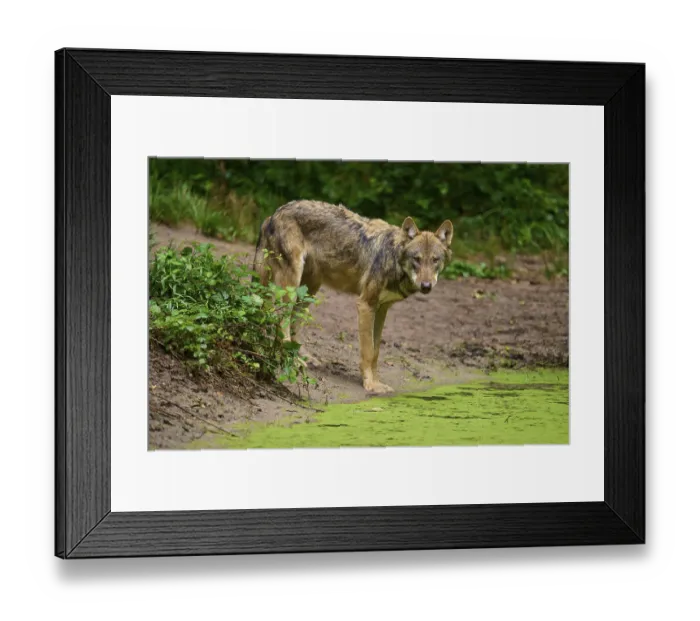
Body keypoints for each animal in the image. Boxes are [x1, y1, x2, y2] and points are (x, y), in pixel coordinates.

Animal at [253, 200, 453, 394]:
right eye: (416, 259)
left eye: (435, 260)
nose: (426, 286)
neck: (392, 257)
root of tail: (274, 214)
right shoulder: (365, 305)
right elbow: (367, 351)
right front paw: (371, 385)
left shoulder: (381, 309)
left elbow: (376, 352)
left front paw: (377, 382)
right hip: (292, 285)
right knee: (281, 321)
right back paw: (292, 360)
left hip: (309, 289)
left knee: (294, 321)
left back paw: (303, 357)